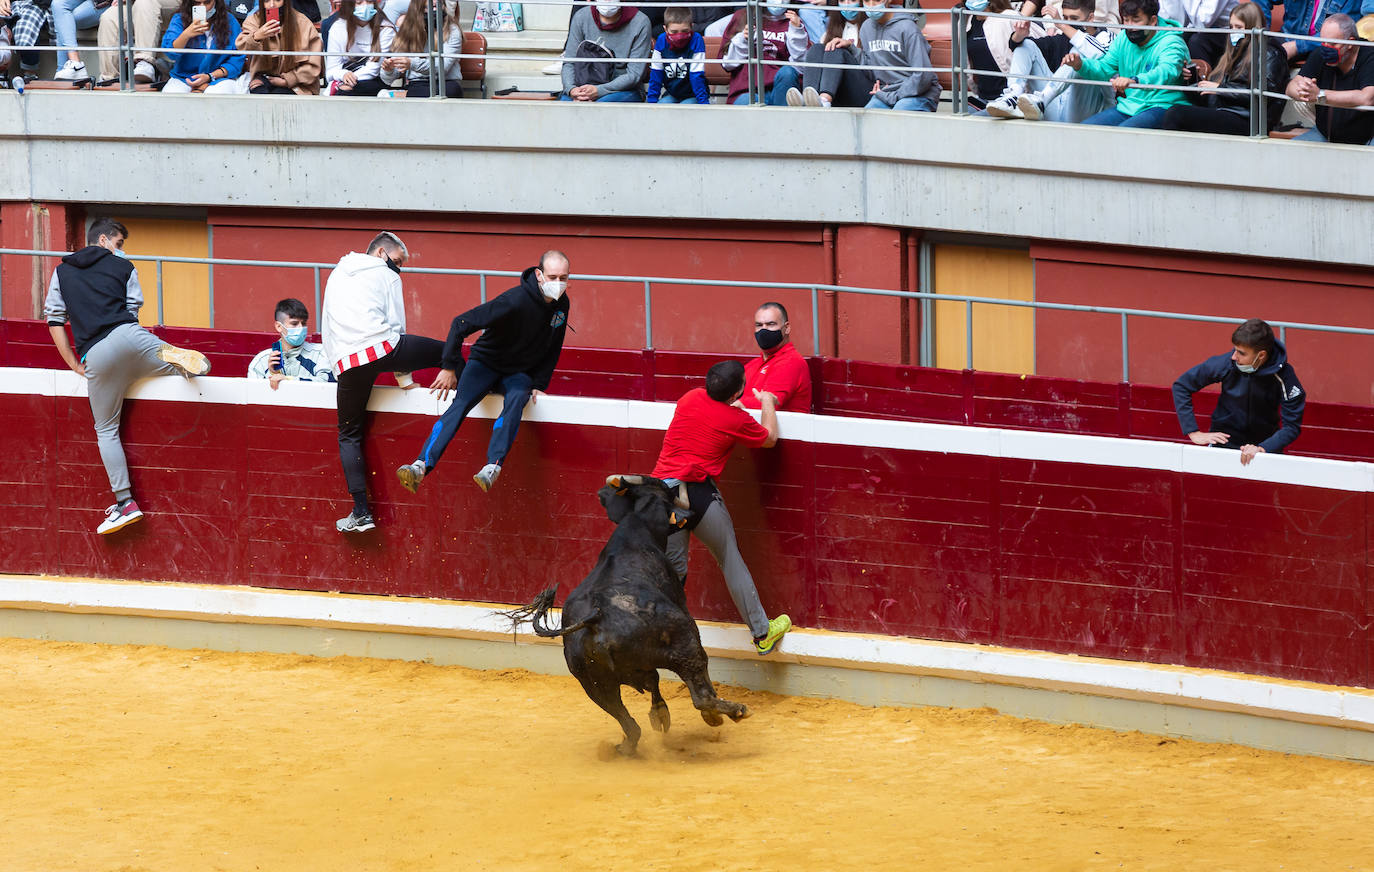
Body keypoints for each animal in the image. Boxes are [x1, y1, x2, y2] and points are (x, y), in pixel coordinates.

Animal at [508, 475, 752, 752]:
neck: (638, 526)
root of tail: (596, 621)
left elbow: (652, 683)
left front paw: (659, 714)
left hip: (594, 685)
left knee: (629, 722)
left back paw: (625, 746)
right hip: (685, 641)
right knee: (700, 693)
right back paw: (731, 711)